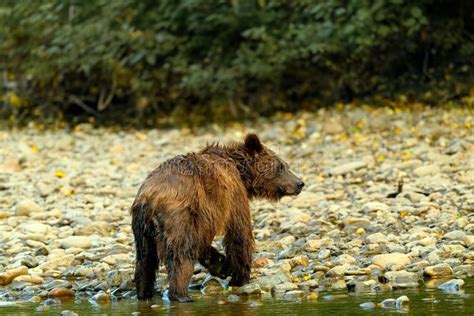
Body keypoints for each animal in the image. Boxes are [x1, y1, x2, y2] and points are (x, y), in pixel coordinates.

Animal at [131, 133, 306, 302]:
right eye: (280, 166)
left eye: (286, 165)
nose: (300, 183)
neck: (240, 170)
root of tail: (149, 198)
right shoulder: (232, 195)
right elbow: (239, 234)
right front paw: (240, 277)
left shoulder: (207, 215)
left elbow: (203, 243)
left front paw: (222, 265)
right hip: (179, 215)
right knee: (181, 254)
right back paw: (181, 295)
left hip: (142, 228)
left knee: (145, 259)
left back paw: (144, 292)